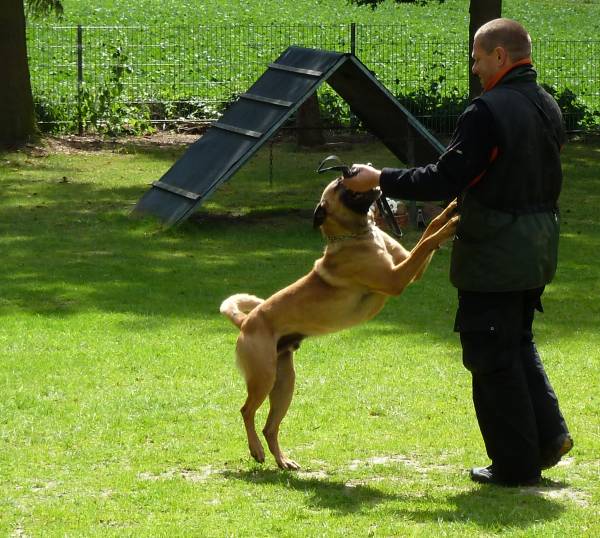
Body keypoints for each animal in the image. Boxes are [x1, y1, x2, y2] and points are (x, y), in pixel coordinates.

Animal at [220, 178, 458, 469]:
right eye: (338, 185)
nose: (349, 171)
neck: (357, 236)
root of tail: (245, 321)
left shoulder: (407, 267)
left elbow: (430, 231)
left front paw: (451, 209)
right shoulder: (396, 278)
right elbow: (427, 242)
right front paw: (453, 222)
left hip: (284, 383)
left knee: (270, 427)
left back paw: (283, 460)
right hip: (263, 377)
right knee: (246, 411)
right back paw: (256, 450)